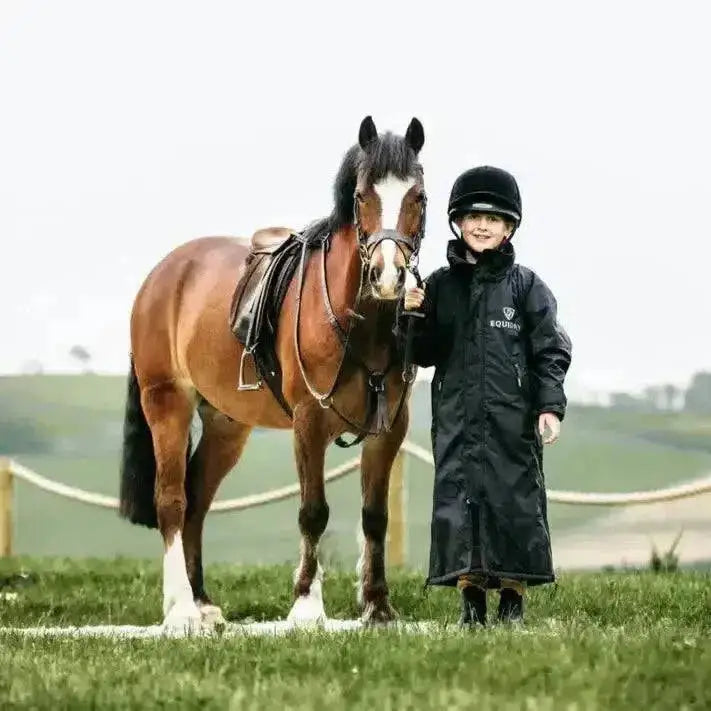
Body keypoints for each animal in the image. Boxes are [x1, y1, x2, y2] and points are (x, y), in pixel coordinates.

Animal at [118, 115, 427, 631]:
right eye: (362, 195)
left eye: (418, 196)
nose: (388, 276)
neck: (359, 321)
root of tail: (163, 274)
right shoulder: (309, 420)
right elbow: (313, 511)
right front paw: (306, 605)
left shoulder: (390, 426)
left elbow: (375, 516)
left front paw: (378, 607)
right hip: (166, 403)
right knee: (172, 500)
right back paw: (181, 610)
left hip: (226, 424)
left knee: (197, 499)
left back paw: (203, 603)